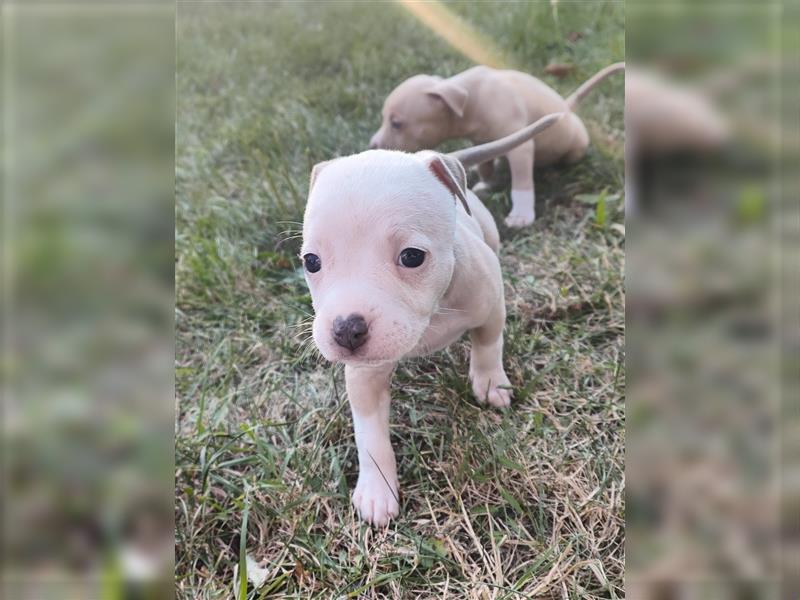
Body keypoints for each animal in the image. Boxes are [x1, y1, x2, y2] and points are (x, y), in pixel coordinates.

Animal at [302, 112, 564, 524]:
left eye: (412, 256)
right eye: (311, 262)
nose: (346, 330)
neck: (433, 313)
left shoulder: (490, 303)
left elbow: (488, 345)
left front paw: (490, 383)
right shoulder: (364, 375)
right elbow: (369, 434)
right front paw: (376, 489)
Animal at [368, 62, 624, 227]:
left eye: (397, 123)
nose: (372, 144)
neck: (472, 98)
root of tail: (567, 106)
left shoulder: (521, 147)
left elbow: (521, 182)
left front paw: (521, 215)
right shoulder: (481, 139)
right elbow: (485, 164)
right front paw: (487, 183)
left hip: (576, 145)